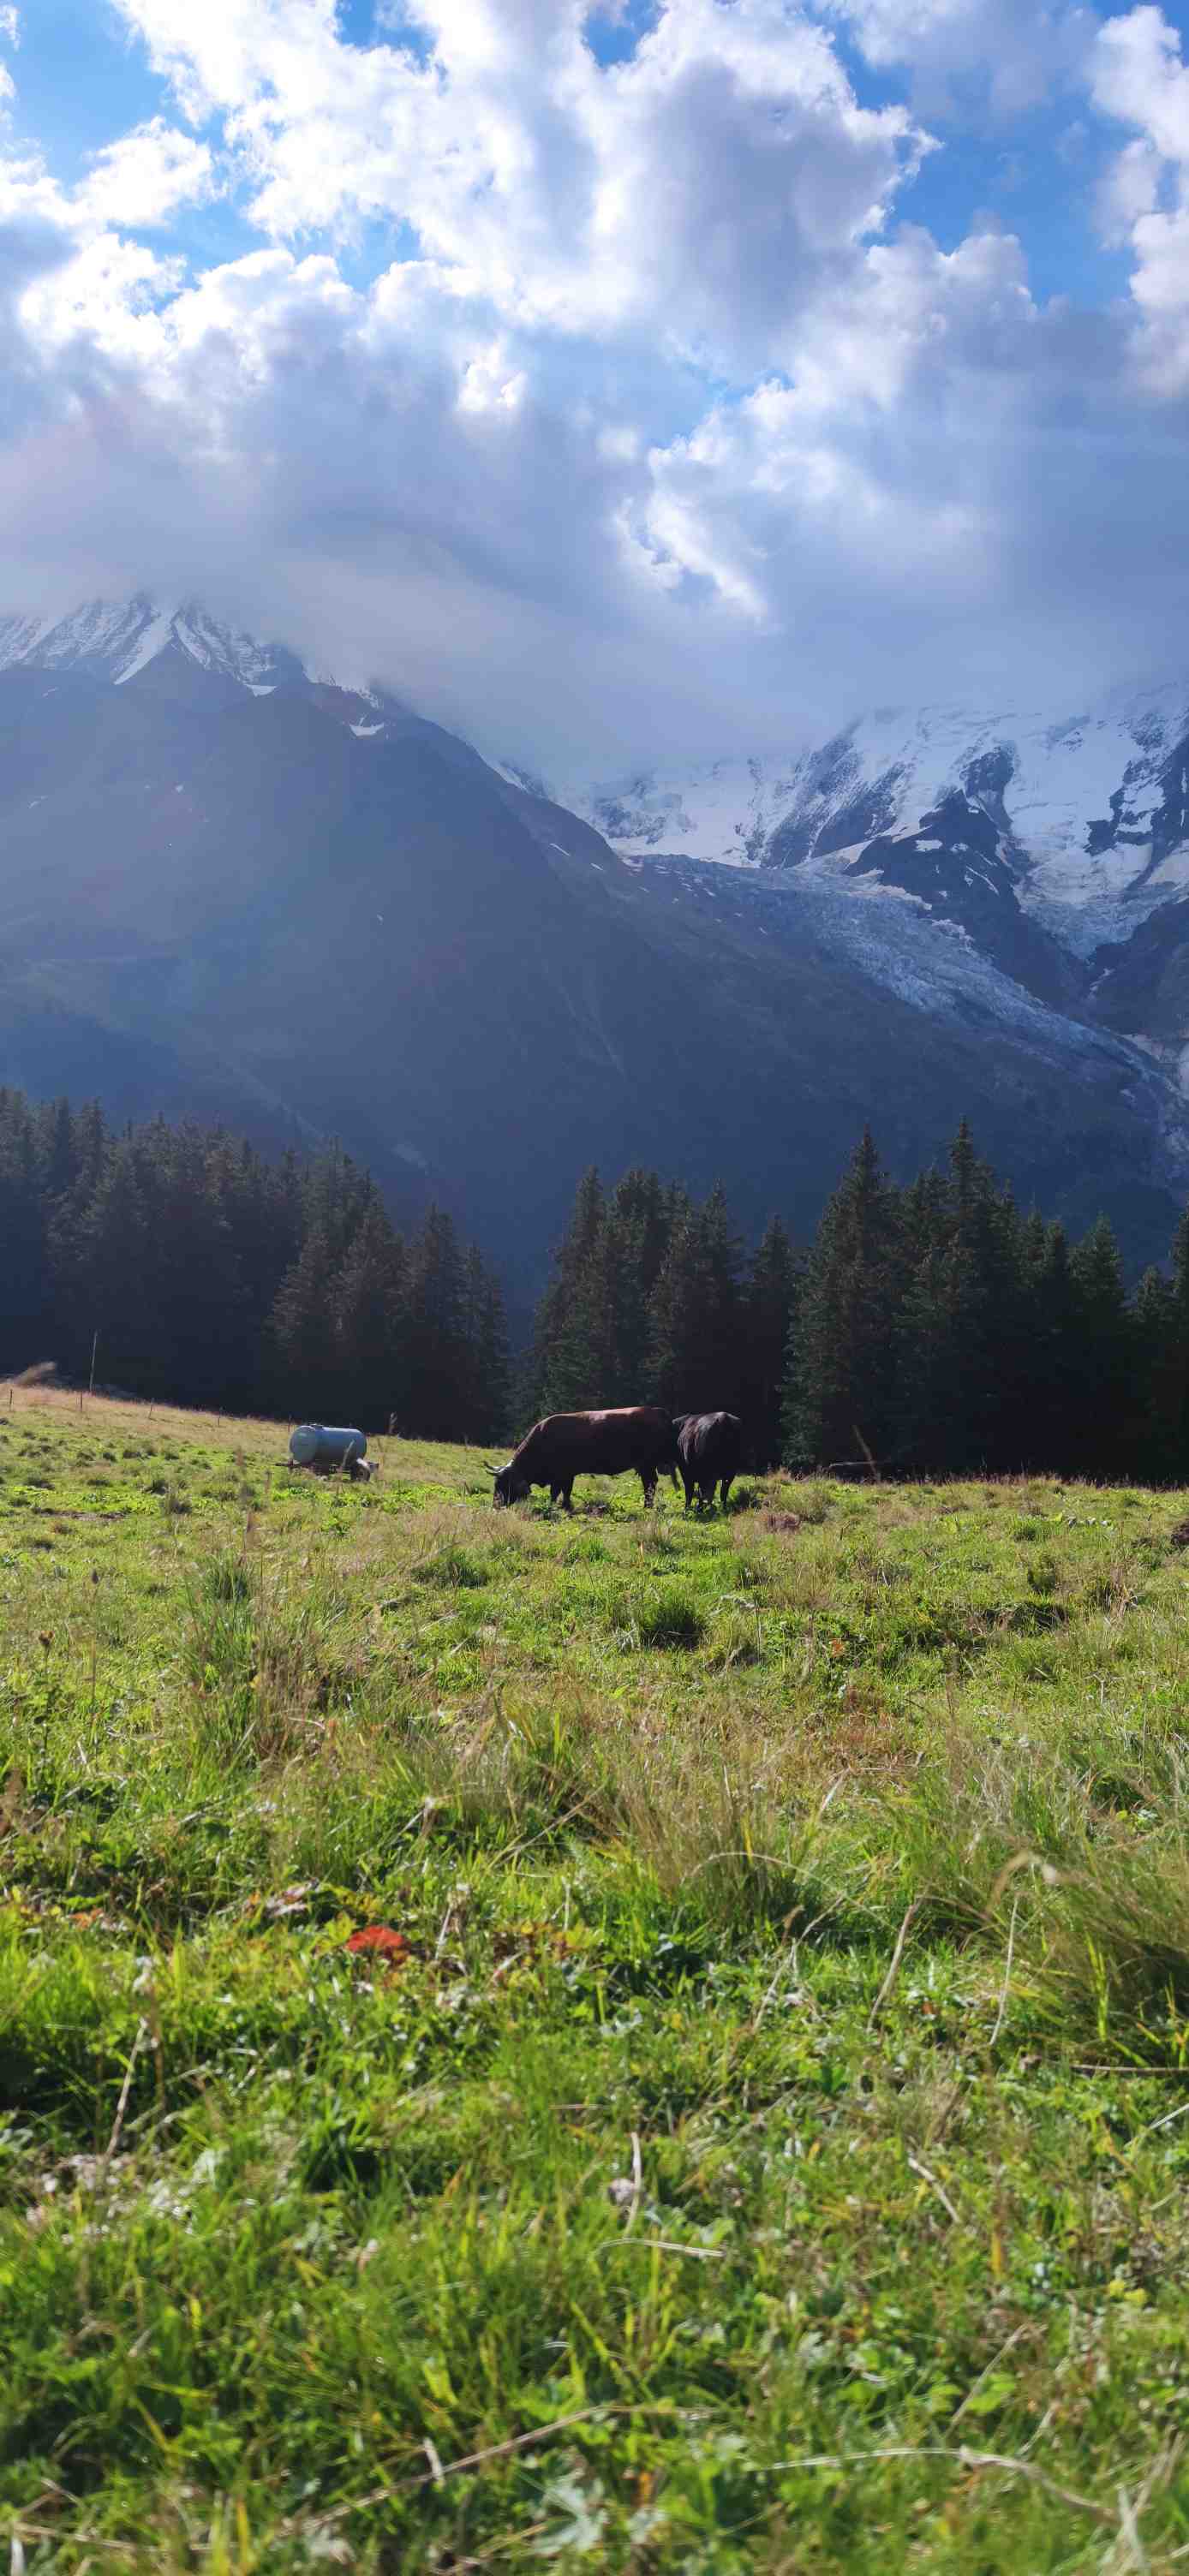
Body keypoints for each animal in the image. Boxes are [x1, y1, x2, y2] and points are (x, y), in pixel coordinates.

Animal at [492, 1406, 679, 1511]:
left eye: (504, 1484)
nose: (495, 1505)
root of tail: (655, 1410)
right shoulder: (567, 1474)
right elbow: (565, 1491)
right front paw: (565, 1506)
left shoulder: (562, 1474)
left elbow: (557, 1491)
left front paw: (557, 1506)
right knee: (651, 1483)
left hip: (647, 1464)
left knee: (650, 1484)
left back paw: (647, 1506)